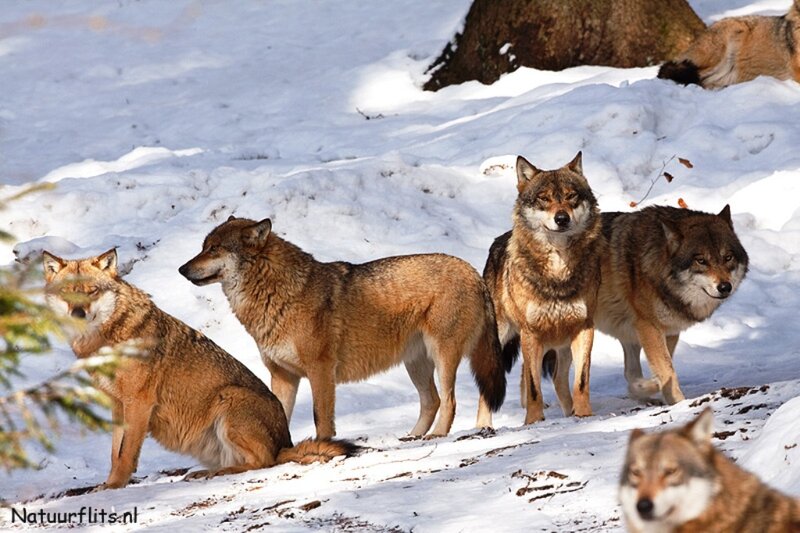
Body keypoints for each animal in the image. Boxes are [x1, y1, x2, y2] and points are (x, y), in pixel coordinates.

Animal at [43, 249, 357, 490]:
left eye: (92, 291)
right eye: (67, 294)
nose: (78, 314)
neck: (108, 341)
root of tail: (285, 442)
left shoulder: (139, 403)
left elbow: (126, 455)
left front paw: (116, 486)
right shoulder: (118, 406)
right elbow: (113, 454)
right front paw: (107, 485)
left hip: (229, 399)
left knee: (264, 462)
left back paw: (218, 473)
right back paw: (205, 473)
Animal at [178, 217, 506, 439]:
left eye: (214, 249)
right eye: (203, 247)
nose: (182, 269)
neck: (278, 295)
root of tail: (472, 271)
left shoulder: (321, 370)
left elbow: (321, 418)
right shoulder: (282, 376)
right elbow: (279, 415)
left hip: (442, 358)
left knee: (450, 401)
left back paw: (438, 435)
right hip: (416, 364)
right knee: (433, 400)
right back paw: (412, 437)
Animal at [483, 152, 603, 424]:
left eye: (571, 196)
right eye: (544, 198)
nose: (562, 218)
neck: (557, 271)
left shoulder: (584, 328)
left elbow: (581, 382)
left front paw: (584, 416)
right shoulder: (531, 334)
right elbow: (534, 387)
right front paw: (534, 421)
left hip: (561, 345)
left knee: (558, 379)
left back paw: (569, 413)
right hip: (503, 340)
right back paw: (484, 426)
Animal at [585, 205, 748, 405]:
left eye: (727, 257)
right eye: (701, 260)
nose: (725, 287)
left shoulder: (669, 331)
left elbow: (661, 369)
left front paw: (643, 389)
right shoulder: (649, 328)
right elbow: (666, 370)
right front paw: (679, 403)